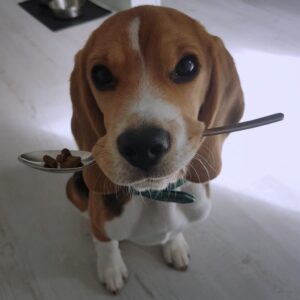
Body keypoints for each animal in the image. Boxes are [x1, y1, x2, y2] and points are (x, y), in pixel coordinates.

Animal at [65, 4, 244, 294]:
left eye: (188, 66)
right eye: (100, 75)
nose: (142, 145)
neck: (157, 197)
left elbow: (175, 232)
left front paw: (175, 245)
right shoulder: (101, 224)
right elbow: (106, 243)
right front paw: (111, 268)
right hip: (73, 187)